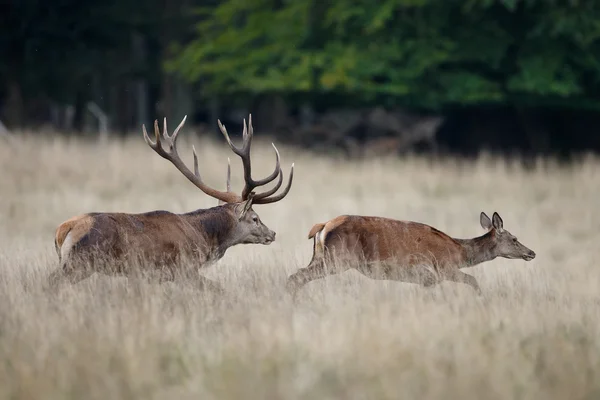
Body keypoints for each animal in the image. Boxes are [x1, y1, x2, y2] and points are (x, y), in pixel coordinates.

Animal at [50, 114, 294, 292]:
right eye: (255, 218)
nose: (272, 233)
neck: (204, 237)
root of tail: (64, 229)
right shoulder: (184, 268)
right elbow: (217, 289)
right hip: (82, 261)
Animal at [286, 211, 536, 296]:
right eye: (514, 239)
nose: (532, 252)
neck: (459, 252)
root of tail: (322, 226)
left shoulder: (426, 278)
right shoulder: (440, 269)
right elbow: (473, 281)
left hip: (321, 257)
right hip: (337, 259)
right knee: (297, 276)